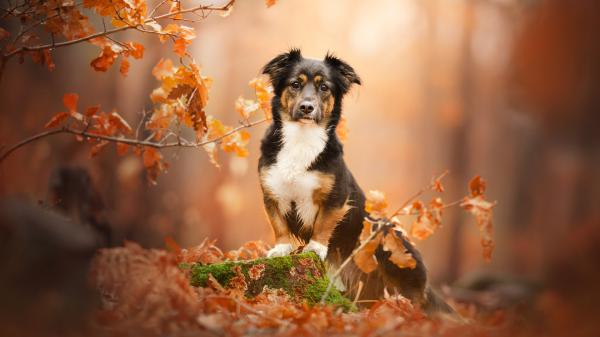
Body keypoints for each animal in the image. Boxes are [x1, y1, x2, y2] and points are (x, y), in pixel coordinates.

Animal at [258, 48, 454, 312]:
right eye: (295, 84)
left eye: (324, 87)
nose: (307, 107)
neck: (302, 139)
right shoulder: (271, 193)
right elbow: (278, 224)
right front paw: (280, 248)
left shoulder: (336, 197)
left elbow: (323, 225)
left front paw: (316, 247)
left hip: (396, 256)